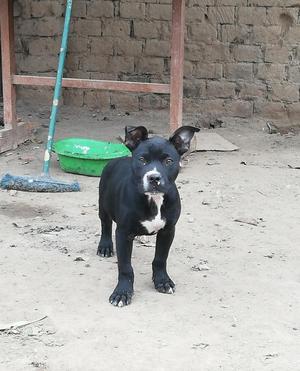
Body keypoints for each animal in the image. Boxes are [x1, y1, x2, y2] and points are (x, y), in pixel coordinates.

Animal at [97, 126, 198, 306]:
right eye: (142, 160)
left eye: (169, 161)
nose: (154, 177)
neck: (154, 199)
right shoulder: (123, 233)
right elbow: (125, 267)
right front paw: (122, 292)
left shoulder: (168, 231)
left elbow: (160, 259)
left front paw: (163, 281)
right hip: (103, 203)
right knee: (105, 224)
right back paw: (105, 246)